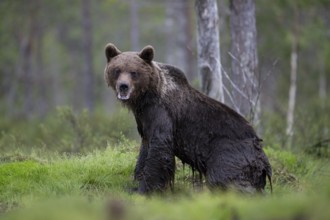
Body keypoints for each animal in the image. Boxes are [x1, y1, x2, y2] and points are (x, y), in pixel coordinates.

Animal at [104, 43, 272, 194]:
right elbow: (145, 148)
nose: (123, 86)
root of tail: (260, 153)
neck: (146, 98)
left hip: (228, 153)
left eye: (133, 72)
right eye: (117, 70)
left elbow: (159, 149)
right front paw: (136, 180)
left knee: (225, 179)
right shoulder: (144, 119)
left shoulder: (161, 114)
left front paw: (145, 189)